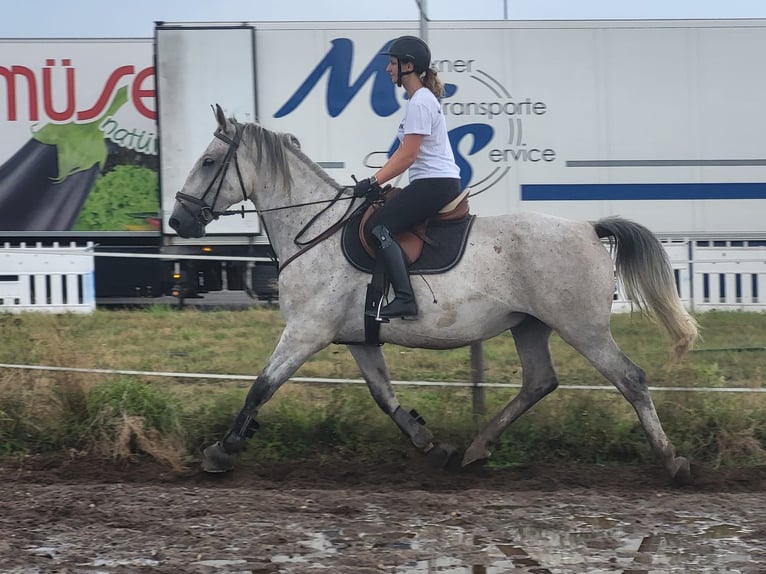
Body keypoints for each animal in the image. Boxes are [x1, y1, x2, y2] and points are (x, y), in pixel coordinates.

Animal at [171, 107, 700, 486]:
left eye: (209, 162)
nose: (178, 220)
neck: (315, 229)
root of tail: (589, 228)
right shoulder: (357, 338)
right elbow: (384, 397)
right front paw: (431, 445)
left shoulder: (306, 331)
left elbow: (261, 385)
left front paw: (221, 452)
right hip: (530, 325)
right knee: (539, 382)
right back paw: (476, 449)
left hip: (581, 327)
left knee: (629, 378)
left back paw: (672, 461)